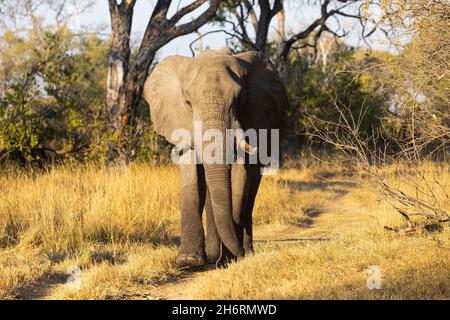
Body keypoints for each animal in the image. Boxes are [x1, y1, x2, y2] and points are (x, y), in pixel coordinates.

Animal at [144, 47, 288, 268]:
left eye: (239, 99)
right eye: (187, 102)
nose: (236, 253)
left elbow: (240, 175)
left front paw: (230, 258)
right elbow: (192, 174)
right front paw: (188, 261)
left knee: (250, 194)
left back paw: (243, 253)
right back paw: (215, 255)